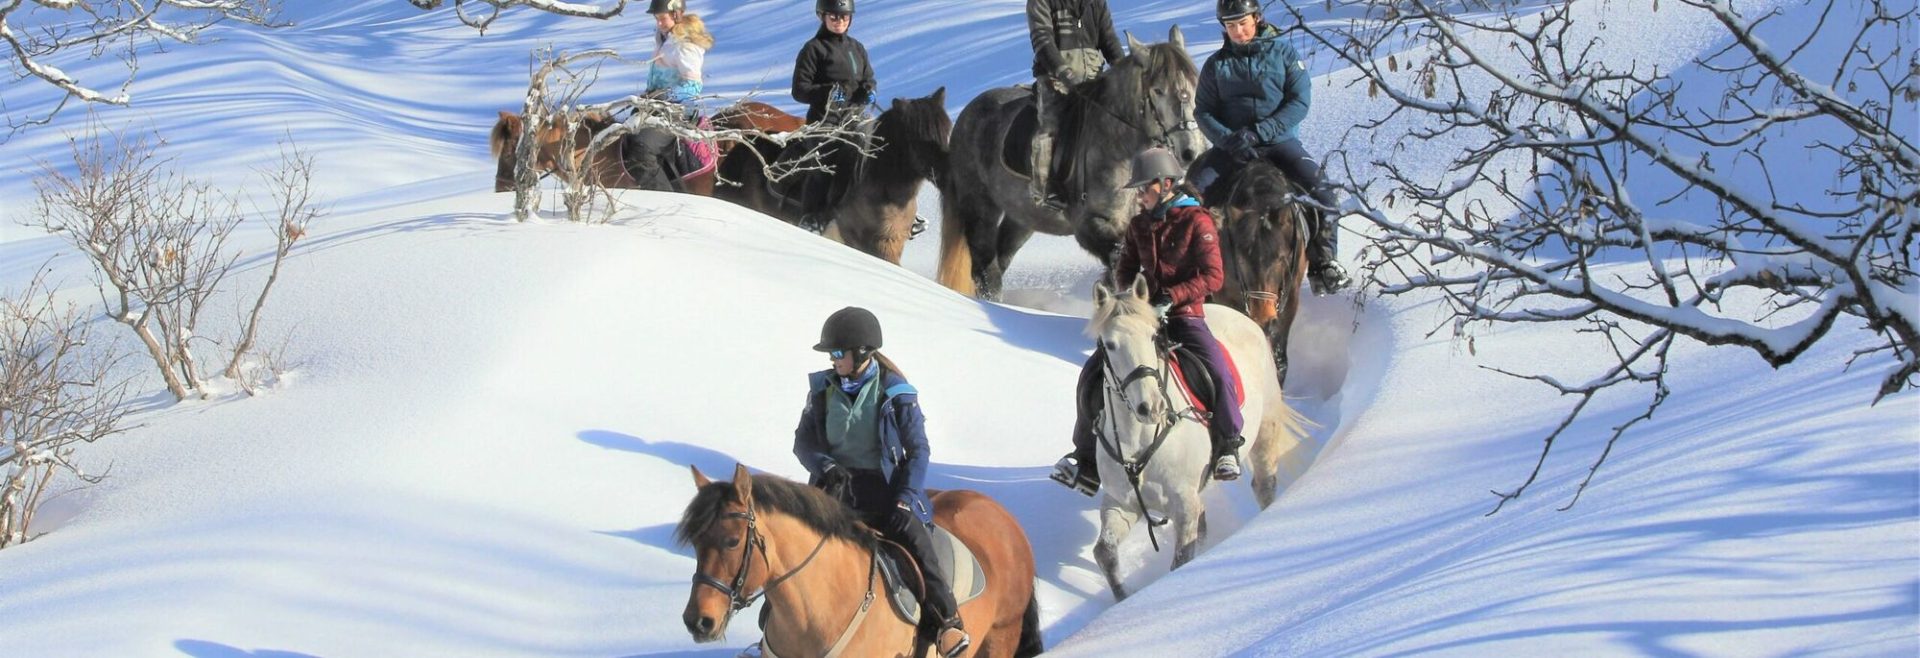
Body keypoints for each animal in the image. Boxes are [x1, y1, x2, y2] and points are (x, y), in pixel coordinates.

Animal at [937, 26, 1208, 299]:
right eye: (1158, 90)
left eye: (1195, 85)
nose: (1191, 150)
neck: (1119, 149)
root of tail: (965, 116)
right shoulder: (1087, 226)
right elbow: (1117, 260)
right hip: (980, 207)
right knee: (986, 271)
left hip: (1021, 217)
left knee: (1000, 260)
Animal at [1085, 277, 1311, 600]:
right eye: (1110, 345)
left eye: (1153, 337)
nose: (1151, 407)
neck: (1140, 440)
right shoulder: (1121, 503)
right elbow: (1104, 553)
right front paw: (1125, 598)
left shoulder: (1184, 505)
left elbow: (1180, 559)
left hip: (1266, 431)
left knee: (1265, 486)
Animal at [1199, 160, 1310, 384]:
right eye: (1241, 258)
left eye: (1280, 258)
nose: (1263, 318)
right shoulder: (1226, 298)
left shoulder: (1291, 299)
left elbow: (1280, 359)